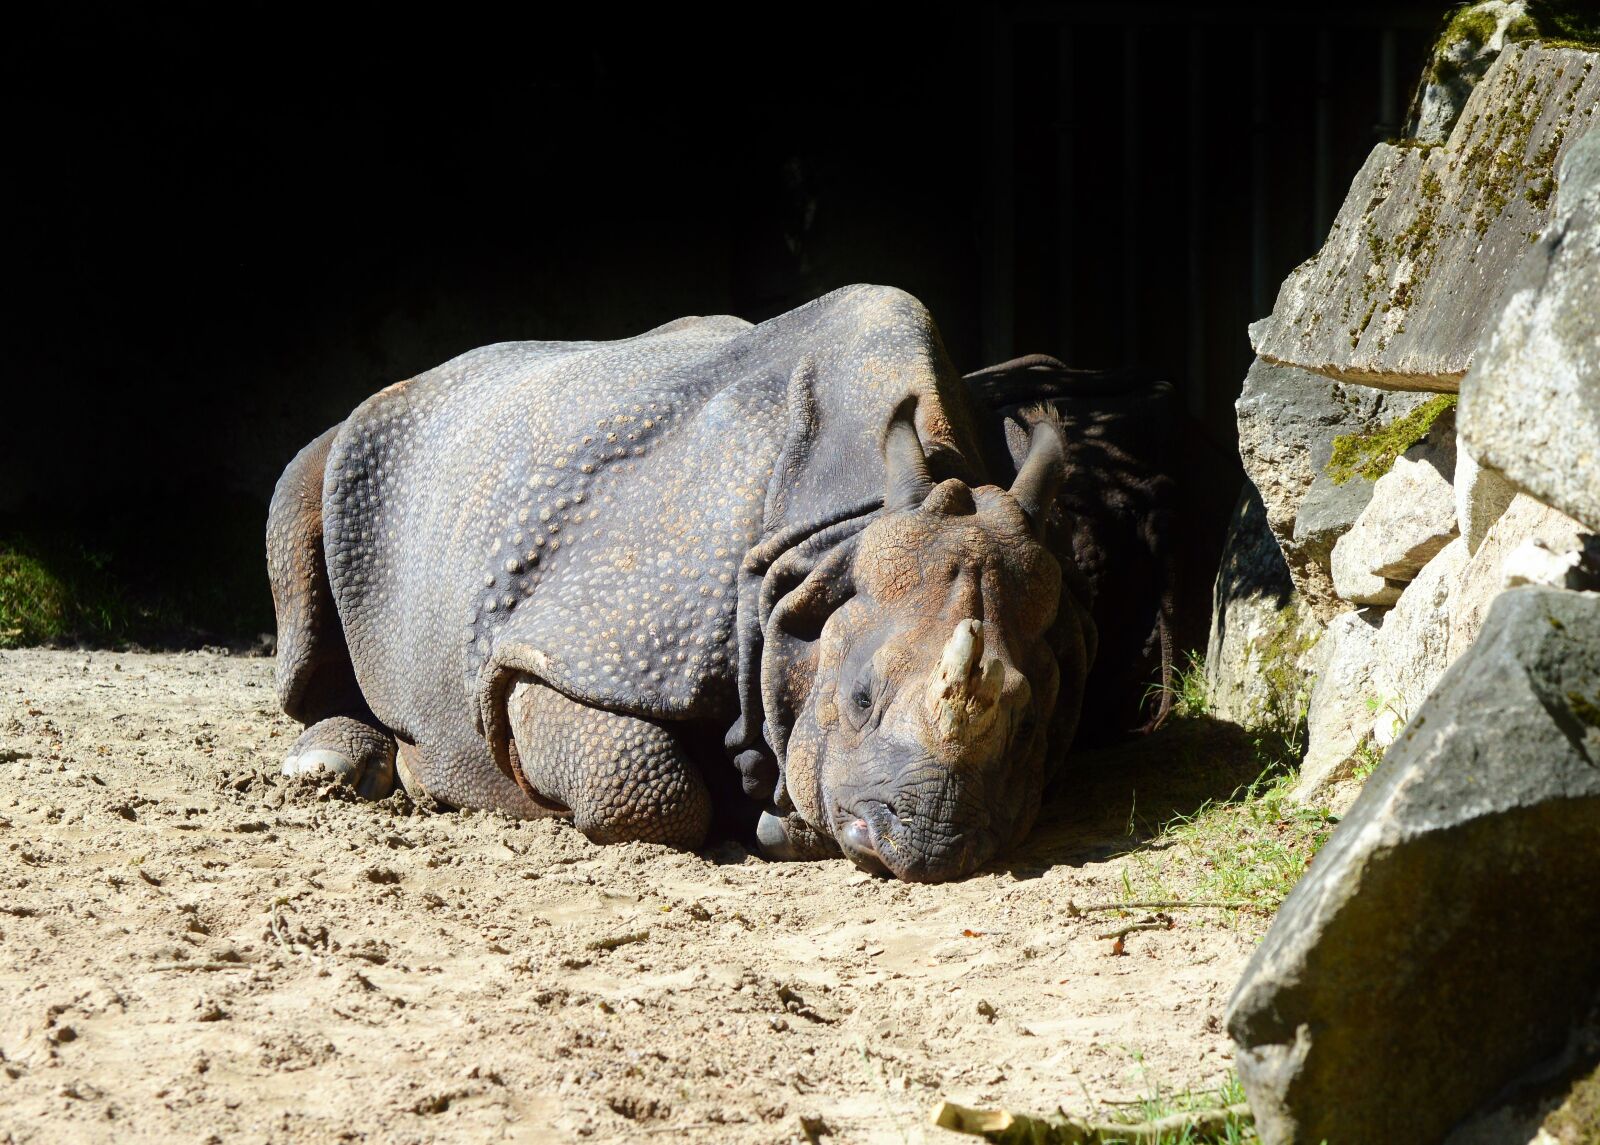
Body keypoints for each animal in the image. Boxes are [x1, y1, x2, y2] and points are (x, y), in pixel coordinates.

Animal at [268, 285, 1170, 882]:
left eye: (1031, 719)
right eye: (859, 699)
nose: (928, 844)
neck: (830, 549)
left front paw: (781, 820)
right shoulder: (588, 636)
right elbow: (641, 784)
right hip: (371, 437)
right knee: (302, 522)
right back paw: (337, 766)